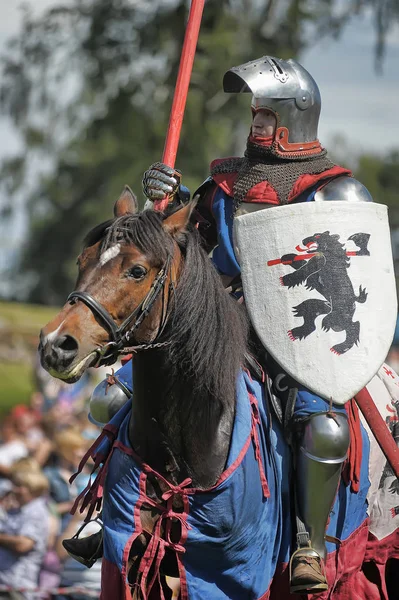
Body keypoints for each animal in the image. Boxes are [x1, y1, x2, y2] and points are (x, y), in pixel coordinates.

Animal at [38, 185, 399, 596]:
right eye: (82, 260)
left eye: (137, 271)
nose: (56, 344)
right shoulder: (132, 556)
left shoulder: (232, 574)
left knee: (325, 432)